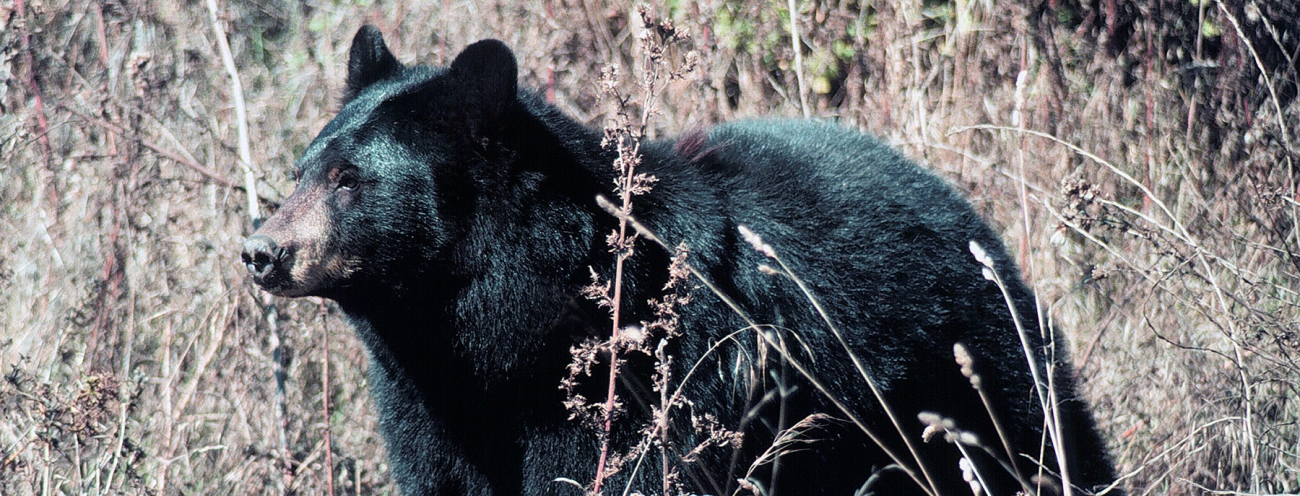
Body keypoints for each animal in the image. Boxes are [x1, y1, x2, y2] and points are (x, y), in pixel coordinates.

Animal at [241, 26, 1118, 496]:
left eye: (350, 180)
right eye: (302, 169)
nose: (261, 252)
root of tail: (968, 213)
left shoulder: (644, 385)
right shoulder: (432, 405)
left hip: (969, 377)